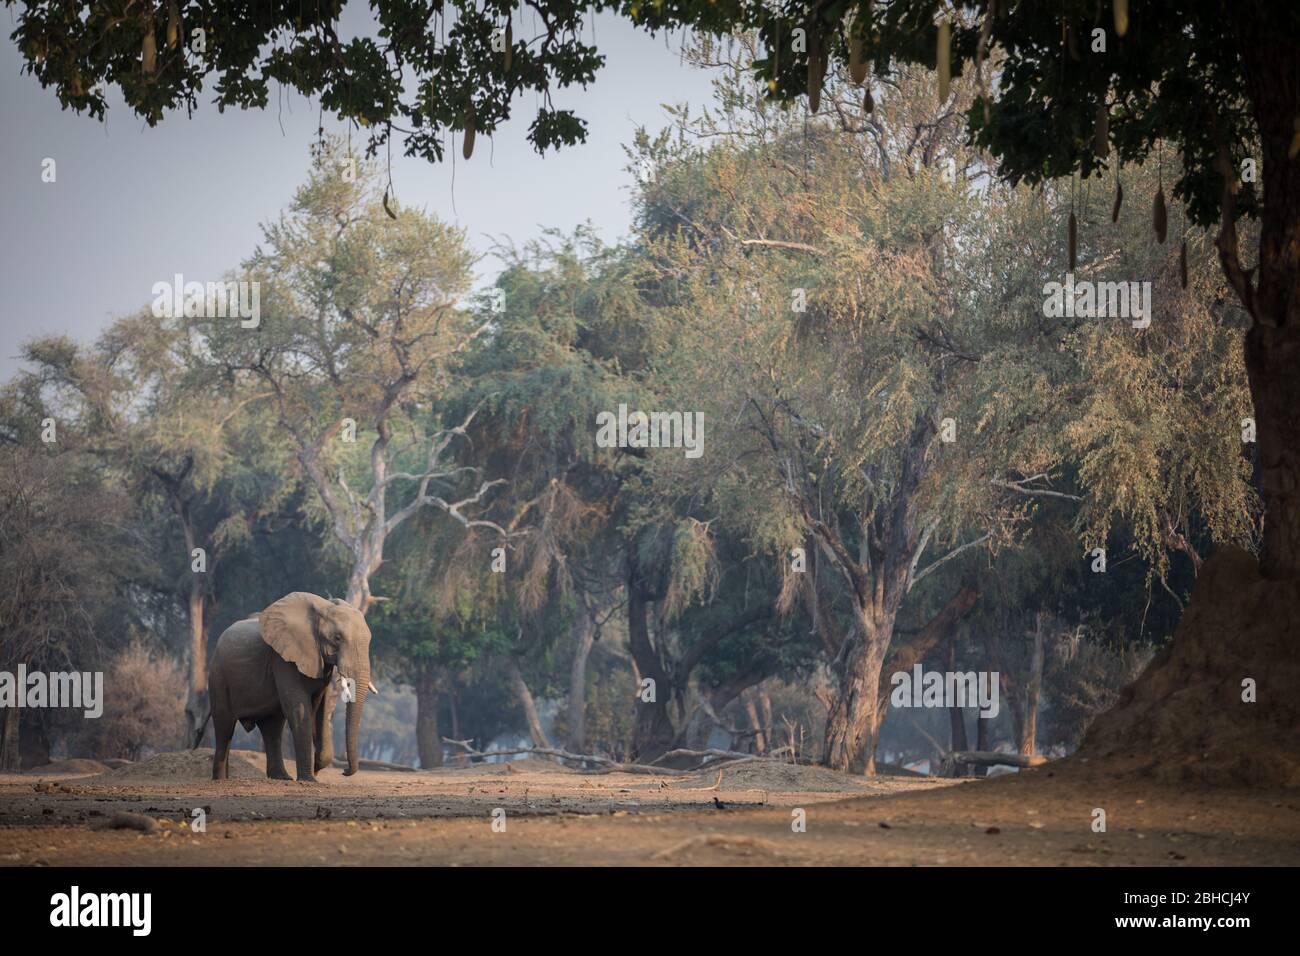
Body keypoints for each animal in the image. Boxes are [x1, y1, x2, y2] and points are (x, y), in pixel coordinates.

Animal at [198, 590, 371, 785]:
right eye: (337, 638)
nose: (345, 771)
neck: (323, 606)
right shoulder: (282, 658)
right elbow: (300, 710)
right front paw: (310, 779)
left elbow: (321, 709)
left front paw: (318, 767)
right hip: (218, 676)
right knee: (225, 727)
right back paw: (220, 780)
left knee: (272, 727)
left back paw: (281, 777)